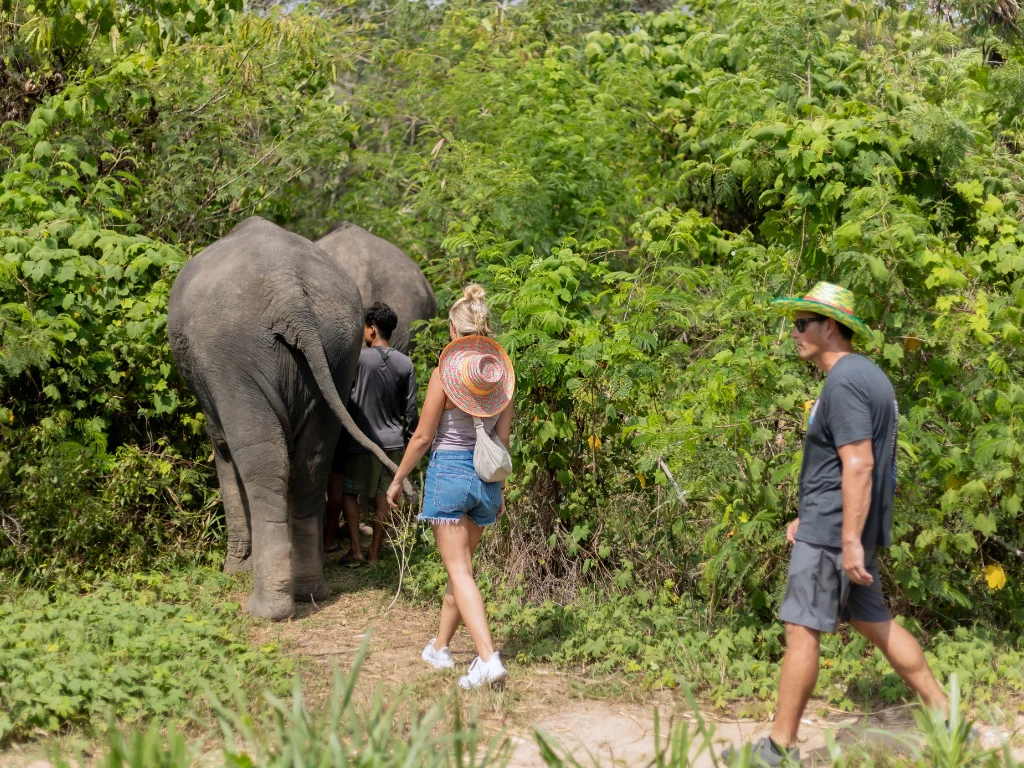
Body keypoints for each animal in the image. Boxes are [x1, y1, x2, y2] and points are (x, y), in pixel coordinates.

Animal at [167, 216, 408, 621]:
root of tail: (291, 298)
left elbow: (224, 454)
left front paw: (235, 570)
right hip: (337, 349)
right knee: (313, 464)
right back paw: (310, 592)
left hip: (235, 359)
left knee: (265, 464)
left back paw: (267, 609)